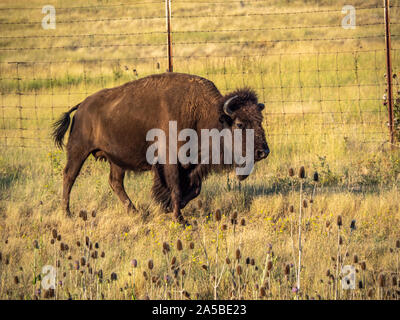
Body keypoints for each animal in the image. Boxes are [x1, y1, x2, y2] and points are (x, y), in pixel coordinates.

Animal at [51, 72, 268, 225]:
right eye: (239, 124)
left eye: (260, 120)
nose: (263, 152)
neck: (204, 114)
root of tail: (82, 106)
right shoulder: (170, 162)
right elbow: (176, 188)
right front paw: (178, 218)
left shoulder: (193, 164)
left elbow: (194, 189)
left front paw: (167, 208)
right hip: (78, 150)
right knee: (69, 176)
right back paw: (66, 213)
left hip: (117, 160)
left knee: (115, 182)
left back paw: (135, 212)